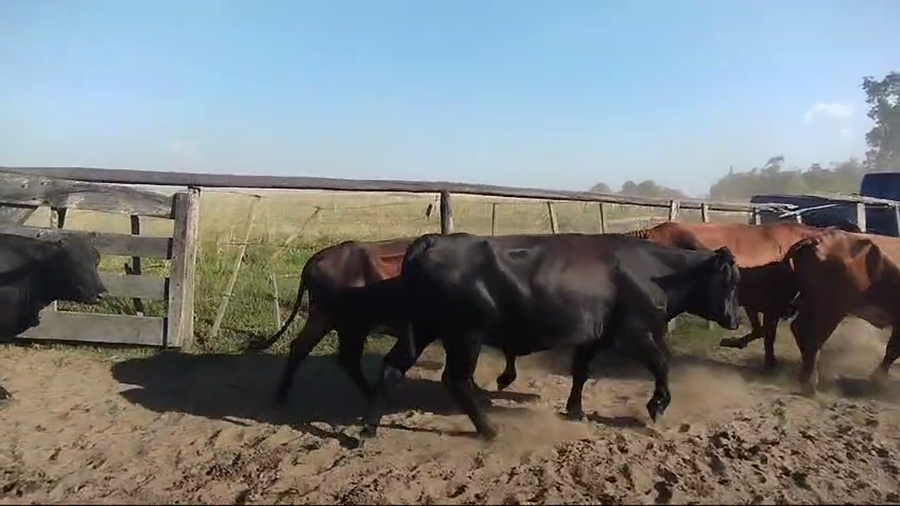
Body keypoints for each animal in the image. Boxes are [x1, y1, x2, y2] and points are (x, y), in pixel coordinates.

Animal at [356, 232, 742, 441]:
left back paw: (368, 430)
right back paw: (488, 430)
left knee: (392, 368)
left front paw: (575, 410)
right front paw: (657, 406)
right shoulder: (632, 333)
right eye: (732, 281)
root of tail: (433, 241)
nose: (736, 318)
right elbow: (663, 363)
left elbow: (581, 373)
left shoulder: (591, 337)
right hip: (464, 334)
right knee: (456, 379)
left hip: (425, 328)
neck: (654, 273)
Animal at [783, 229, 900, 396]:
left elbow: (892, 349)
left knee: (799, 329)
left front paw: (878, 380)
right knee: (813, 337)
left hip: (813, 301)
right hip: (831, 309)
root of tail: (814, 240)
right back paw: (810, 385)